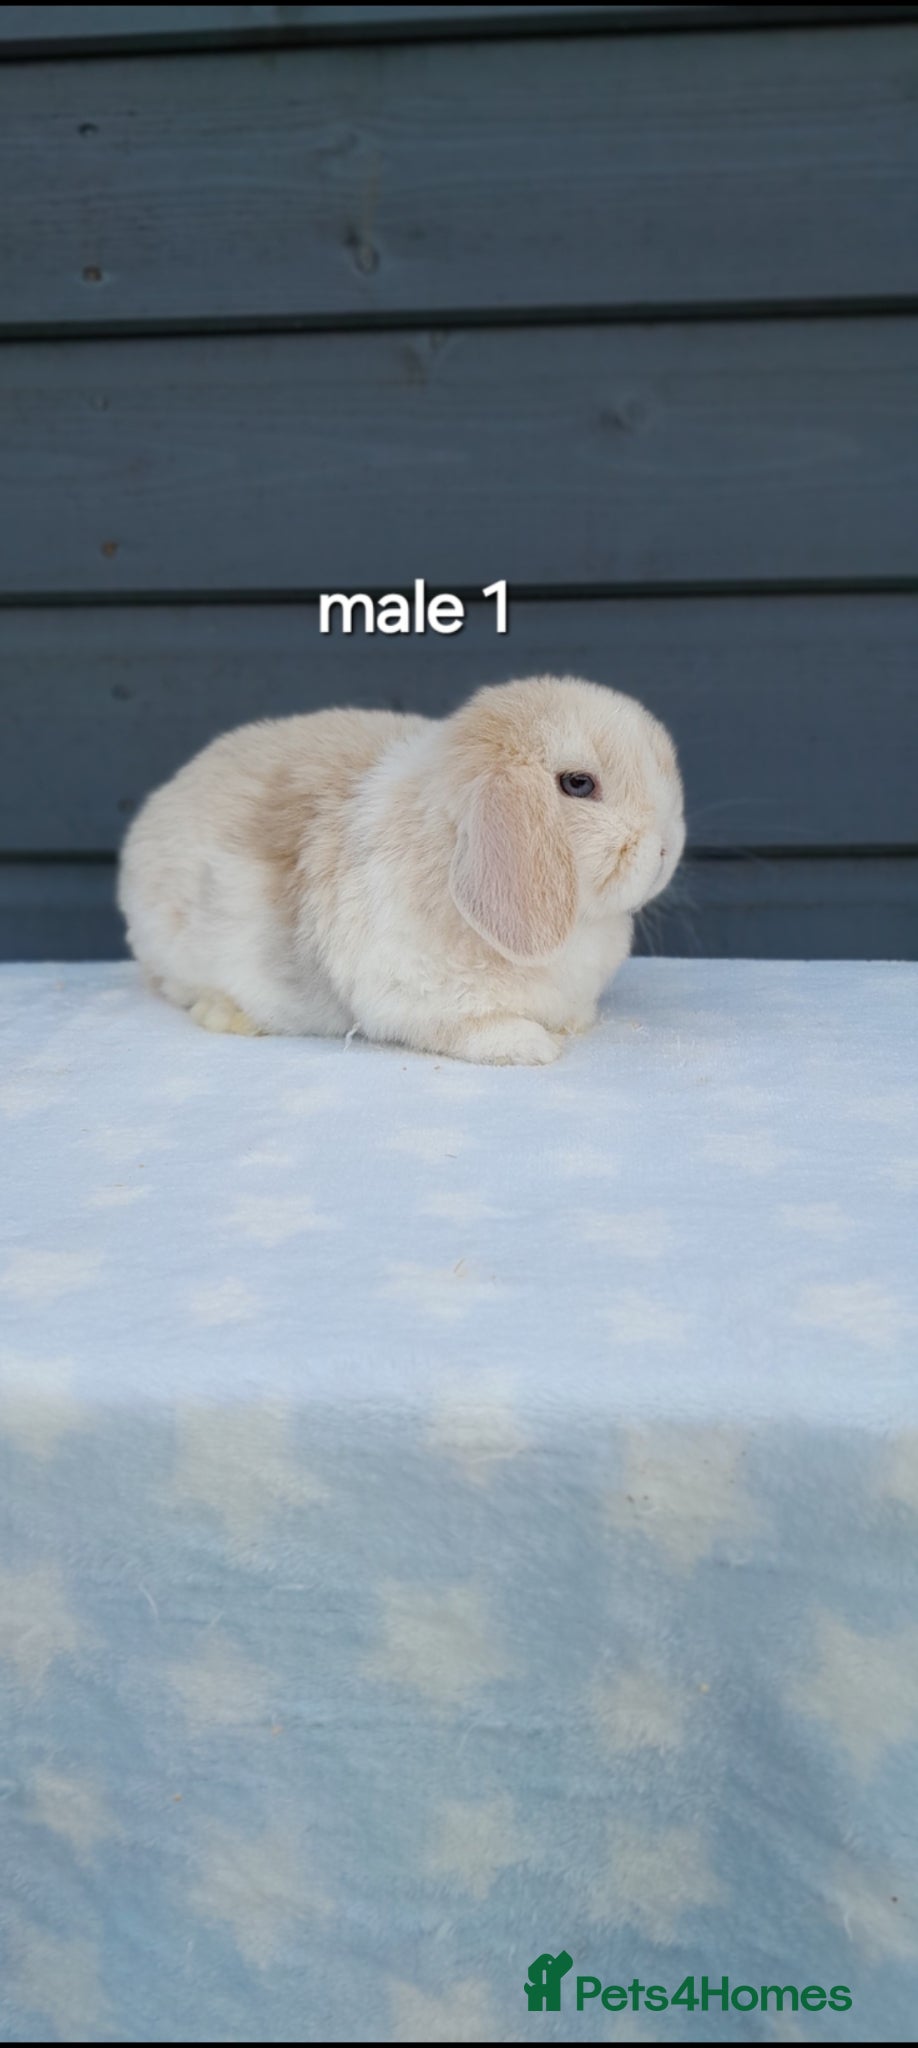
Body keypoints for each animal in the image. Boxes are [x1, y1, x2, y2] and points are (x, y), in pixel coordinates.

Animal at [118, 674, 685, 1065]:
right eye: (578, 784)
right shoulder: (412, 997)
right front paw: (531, 1046)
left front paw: (575, 1024)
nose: (666, 848)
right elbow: (472, 1028)